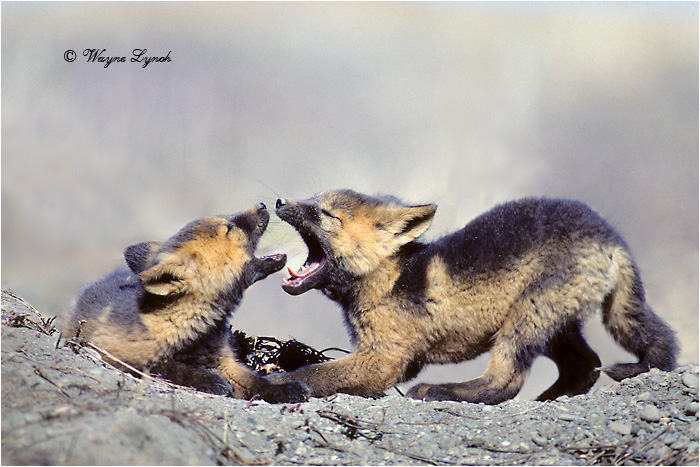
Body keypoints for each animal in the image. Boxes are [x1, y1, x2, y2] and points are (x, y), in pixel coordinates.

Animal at [63, 203, 308, 403]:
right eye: (229, 228)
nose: (263, 204)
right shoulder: (111, 351)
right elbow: (171, 368)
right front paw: (210, 381)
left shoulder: (224, 362)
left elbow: (256, 381)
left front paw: (284, 389)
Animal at [269, 189, 678, 404]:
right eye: (311, 199)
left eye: (323, 214)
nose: (279, 201)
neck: (385, 280)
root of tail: (610, 238)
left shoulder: (386, 358)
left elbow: (314, 371)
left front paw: (276, 383)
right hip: (560, 325)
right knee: (596, 362)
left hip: (525, 318)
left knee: (506, 382)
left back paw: (441, 390)